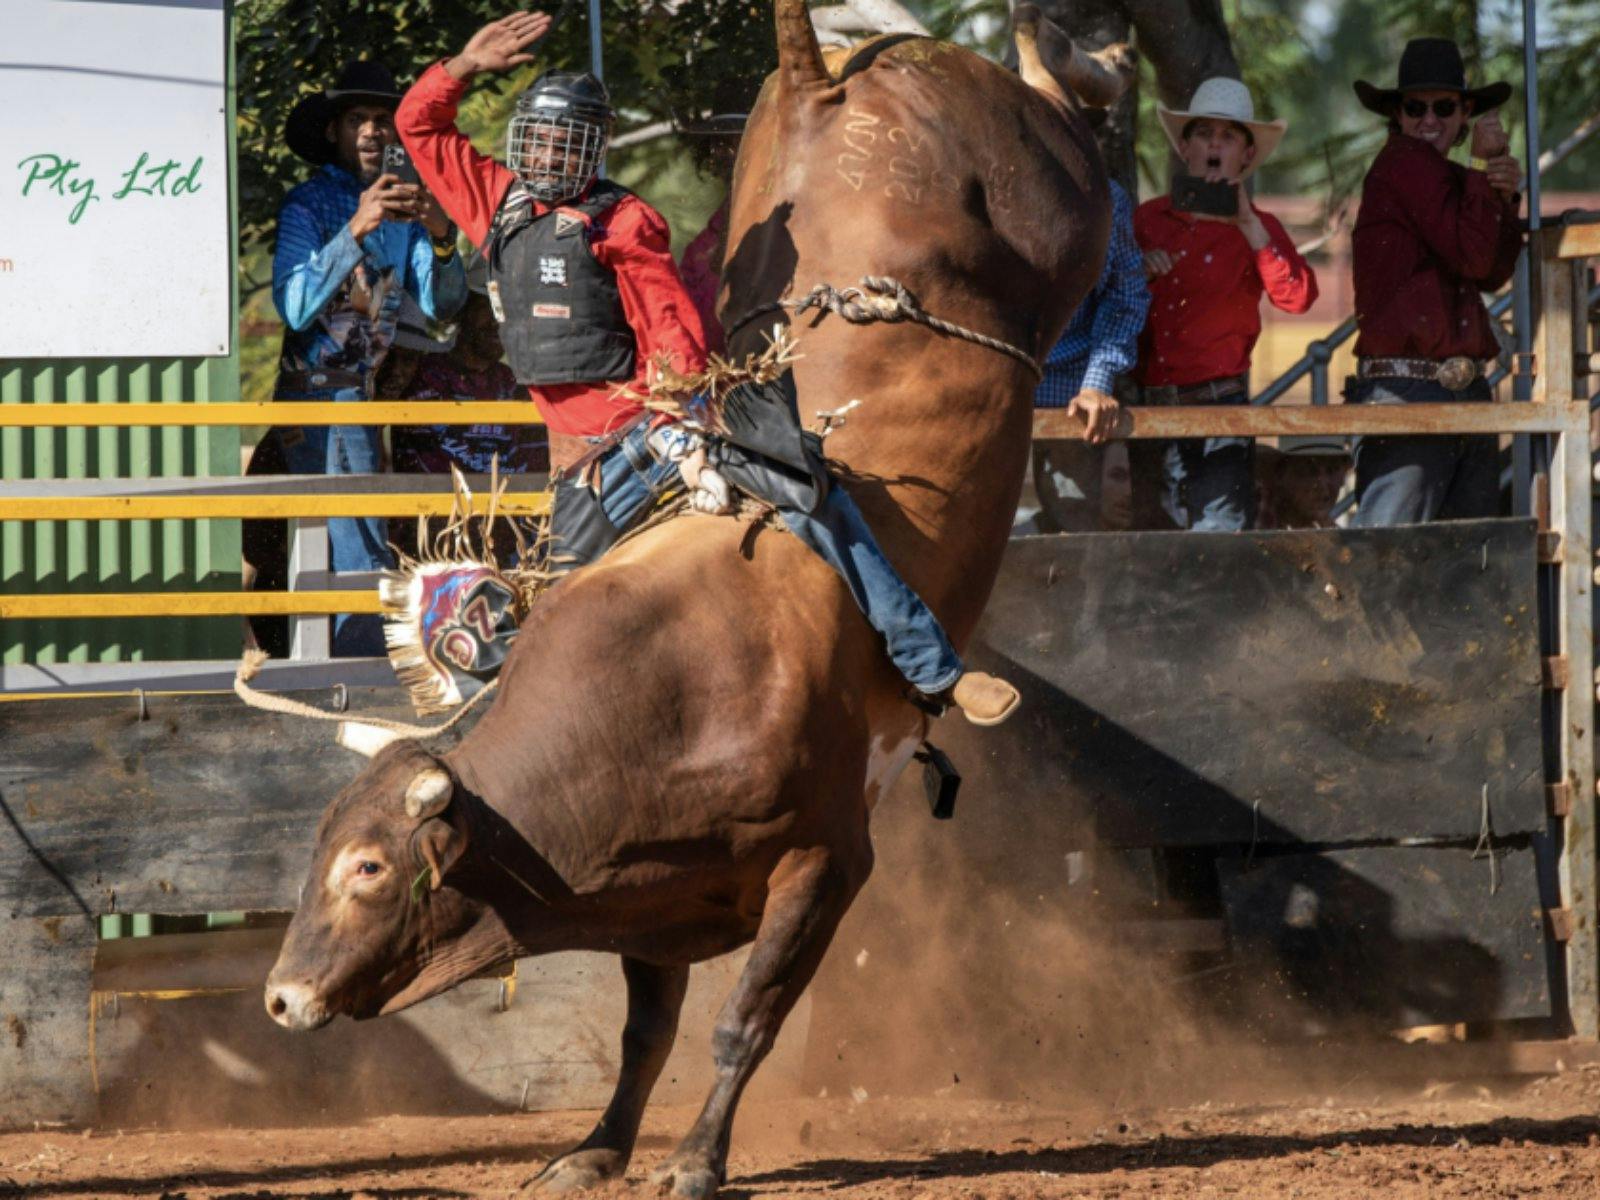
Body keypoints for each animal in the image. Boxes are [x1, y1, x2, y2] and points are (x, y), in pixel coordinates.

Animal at [263, 4, 1128, 1196]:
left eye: (367, 866)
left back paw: (1073, 49)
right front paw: (594, 1150)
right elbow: (646, 1034)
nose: (280, 998)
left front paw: (695, 1161)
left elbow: (742, 1024)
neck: (681, 685)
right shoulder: (652, 898)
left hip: (1054, 199)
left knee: (1067, 120)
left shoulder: (827, 862)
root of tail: (824, 90)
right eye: (318, 853)